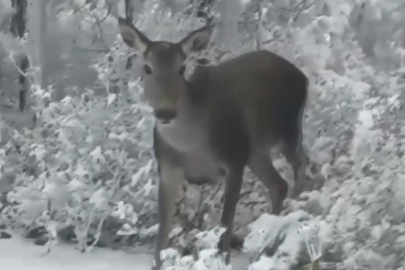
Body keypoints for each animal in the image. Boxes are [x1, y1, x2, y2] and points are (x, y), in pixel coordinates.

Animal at [118, 17, 308, 268]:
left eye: (182, 68)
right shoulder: (168, 169)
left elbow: (226, 226)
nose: (166, 112)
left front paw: (223, 261)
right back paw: (268, 242)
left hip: (287, 131)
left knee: (301, 166)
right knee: (279, 185)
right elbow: (161, 234)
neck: (191, 145)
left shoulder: (233, 160)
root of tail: (303, 77)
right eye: (147, 68)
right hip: (255, 152)